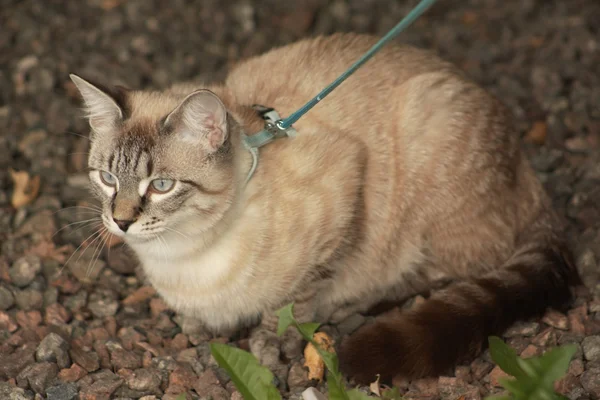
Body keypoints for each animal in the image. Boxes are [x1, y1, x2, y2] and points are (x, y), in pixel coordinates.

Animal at [70, 32, 580, 382]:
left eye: (161, 185)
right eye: (108, 178)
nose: (120, 222)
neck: (183, 257)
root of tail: (526, 166)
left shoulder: (345, 183)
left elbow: (298, 296)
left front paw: (269, 340)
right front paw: (194, 325)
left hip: (430, 130)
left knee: (447, 269)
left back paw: (354, 304)